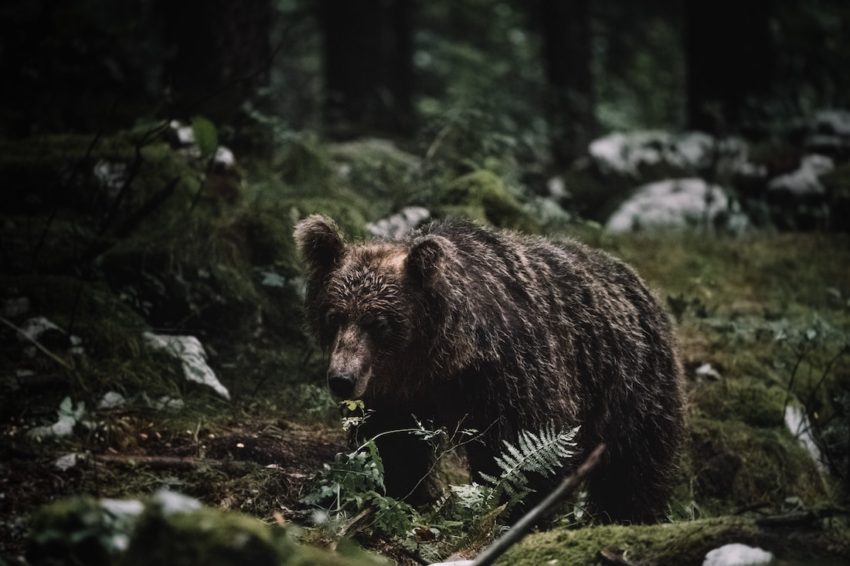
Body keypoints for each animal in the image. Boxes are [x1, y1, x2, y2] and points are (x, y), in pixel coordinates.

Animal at [294, 216, 684, 524]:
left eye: (380, 323)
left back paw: (627, 516)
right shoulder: (396, 394)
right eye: (334, 316)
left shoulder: (512, 374)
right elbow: (393, 445)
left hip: (632, 384)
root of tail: (637, 281)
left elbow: (526, 448)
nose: (342, 380)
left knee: (633, 464)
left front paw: (512, 511)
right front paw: (403, 494)